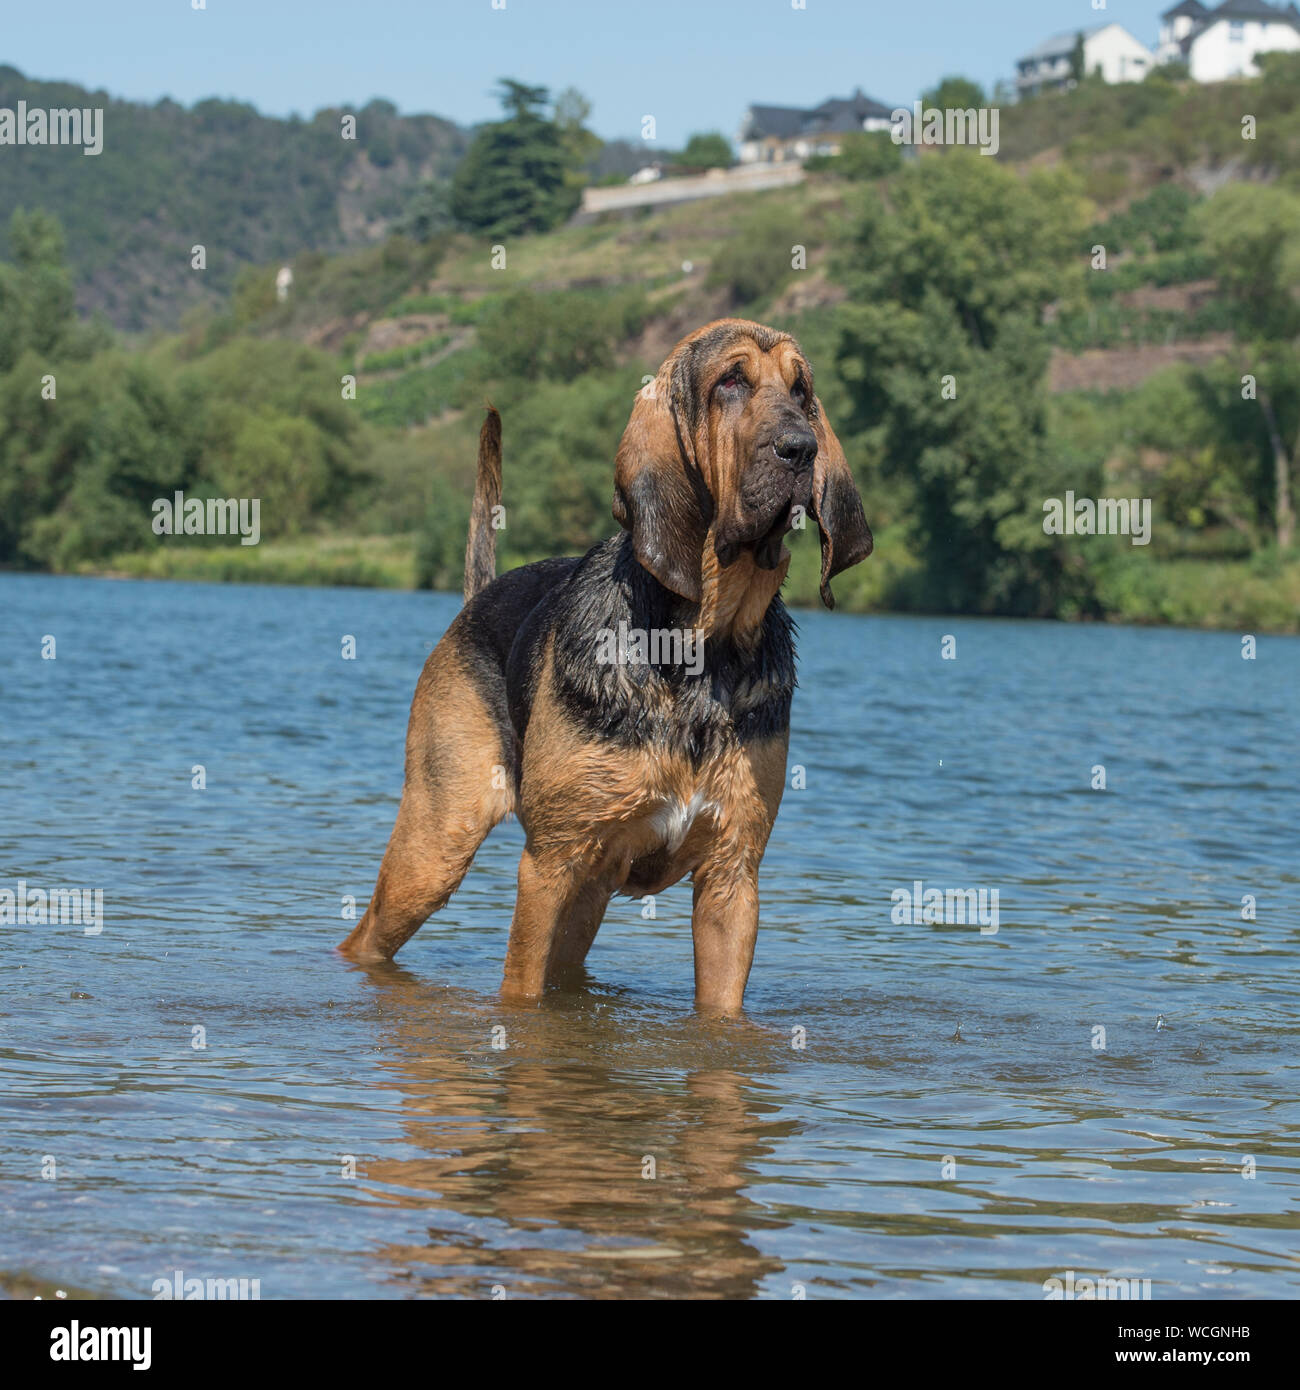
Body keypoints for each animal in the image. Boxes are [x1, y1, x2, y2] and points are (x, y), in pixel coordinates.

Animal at [343, 318, 873, 1011]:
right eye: (731, 381)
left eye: (801, 389)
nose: (801, 448)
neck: (701, 650)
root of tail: (475, 602)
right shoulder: (549, 866)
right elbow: (522, 995)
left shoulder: (732, 878)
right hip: (435, 848)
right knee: (363, 939)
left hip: (584, 898)